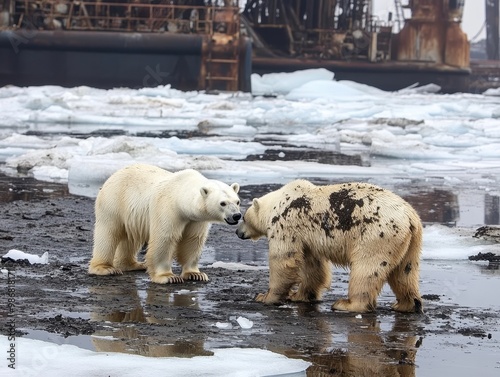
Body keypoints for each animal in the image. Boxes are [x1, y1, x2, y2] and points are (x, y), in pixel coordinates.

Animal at [87, 163, 240, 284]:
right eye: (223, 203)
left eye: (237, 201)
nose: (236, 215)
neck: (180, 196)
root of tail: (113, 176)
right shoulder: (168, 208)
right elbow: (165, 238)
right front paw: (168, 277)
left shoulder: (196, 220)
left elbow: (193, 240)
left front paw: (196, 274)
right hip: (114, 202)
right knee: (108, 233)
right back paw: (105, 268)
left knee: (130, 238)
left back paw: (133, 264)